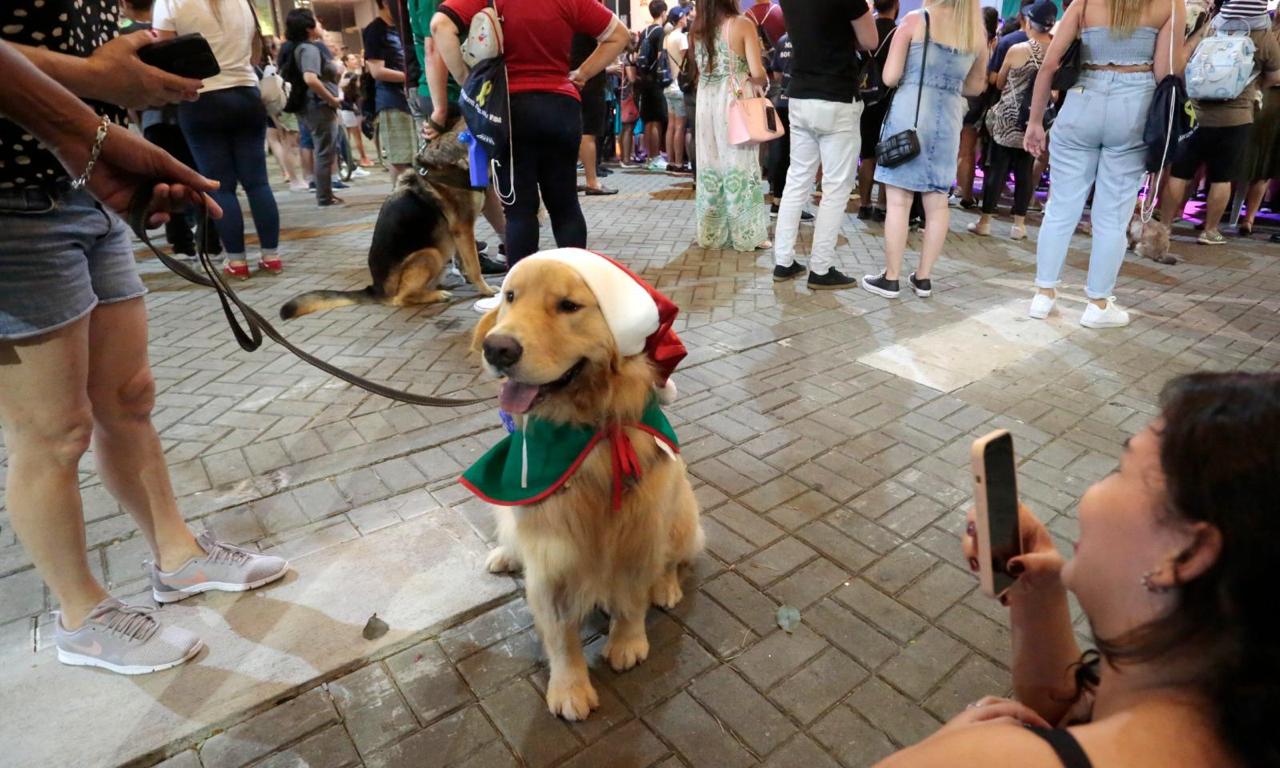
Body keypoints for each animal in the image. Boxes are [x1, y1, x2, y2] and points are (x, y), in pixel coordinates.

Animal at [280, 121, 494, 320]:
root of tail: (375, 289)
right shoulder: (463, 228)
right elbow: (474, 266)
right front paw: (487, 290)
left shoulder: (459, 233)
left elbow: (465, 262)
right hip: (430, 254)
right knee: (401, 298)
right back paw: (436, 295)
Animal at [465, 256, 701, 721]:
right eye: (509, 296)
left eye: (569, 305)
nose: (497, 349)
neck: (587, 431)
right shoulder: (550, 550)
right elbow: (559, 632)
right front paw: (570, 686)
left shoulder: (638, 529)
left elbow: (632, 597)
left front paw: (628, 642)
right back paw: (506, 555)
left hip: (680, 507)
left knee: (671, 561)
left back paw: (666, 587)